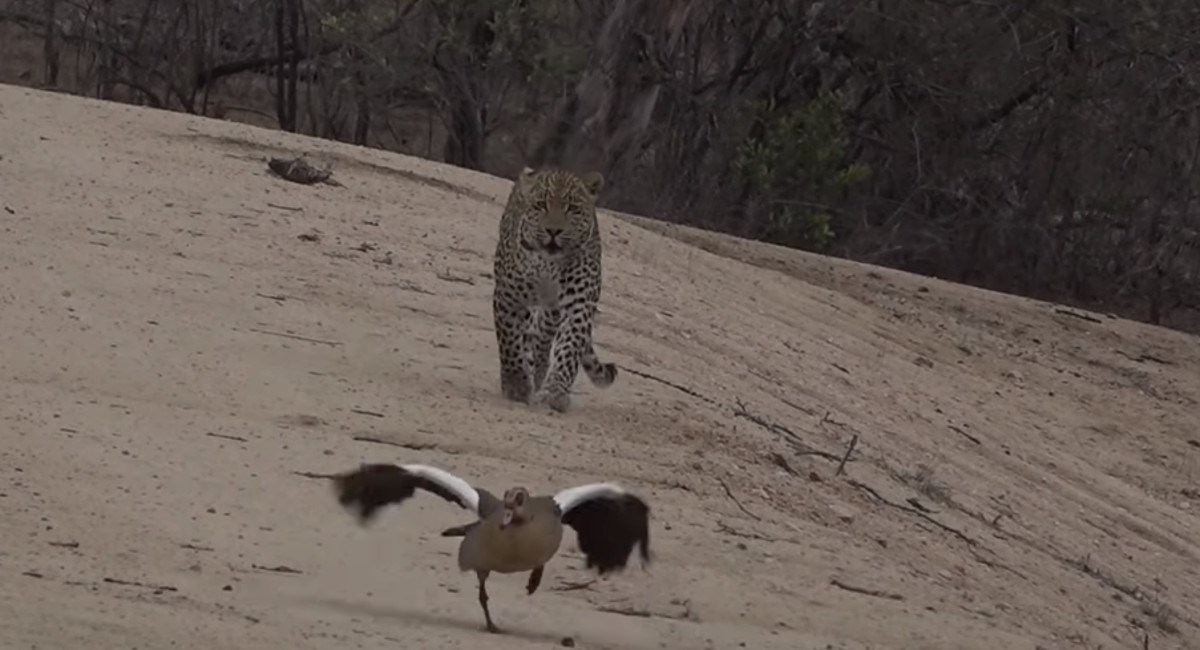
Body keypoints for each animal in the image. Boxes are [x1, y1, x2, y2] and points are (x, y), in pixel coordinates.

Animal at [489, 166, 619, 412]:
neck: (547, 265)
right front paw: (516, 385)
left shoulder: (579, 304)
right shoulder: (509, 297)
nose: (553, 231)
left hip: (552, 311)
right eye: (541, 205)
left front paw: (555, 392)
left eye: (572, 208)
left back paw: (539, 372)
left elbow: (569, 347)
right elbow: (510, 343)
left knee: (542, 339)